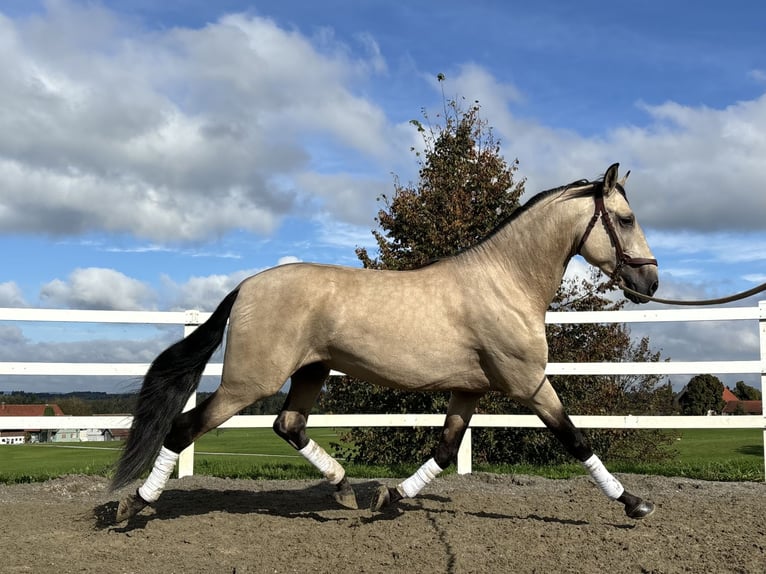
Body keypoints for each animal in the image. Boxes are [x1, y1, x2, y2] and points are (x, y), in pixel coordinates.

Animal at [112, 163, 660, 528]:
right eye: (626, 219)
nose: (650, 282)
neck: (504, 283)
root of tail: (247, 285)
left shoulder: (469, 390)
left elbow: (445, 450)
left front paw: (391, 497)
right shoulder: (529, 385)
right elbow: (576, 439)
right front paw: (635, 503)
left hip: (311, 371)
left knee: (288, 424)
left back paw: (343, 491)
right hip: (249, 382)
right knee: (184, 427)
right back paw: (135, 504)